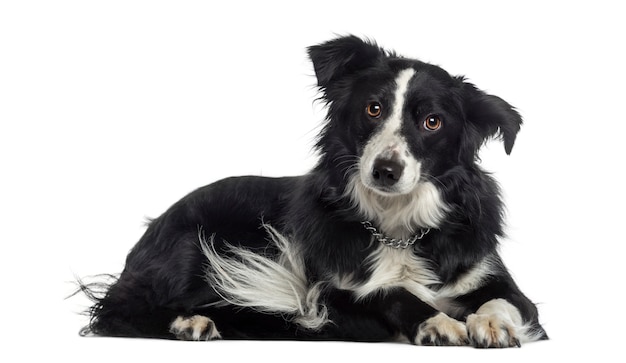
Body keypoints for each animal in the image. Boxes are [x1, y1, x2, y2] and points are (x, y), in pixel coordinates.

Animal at [79, 35, 544, 348]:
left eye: (433, 122)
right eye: (373, 108)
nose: (385, 170)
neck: (396, 225)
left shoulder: (494, 278)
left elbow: (507, 302)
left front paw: (491, 323)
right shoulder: (331, 292)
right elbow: (389, 291)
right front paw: (437, 321)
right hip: (195, 244)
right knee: (123, 310)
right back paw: (190, 322)